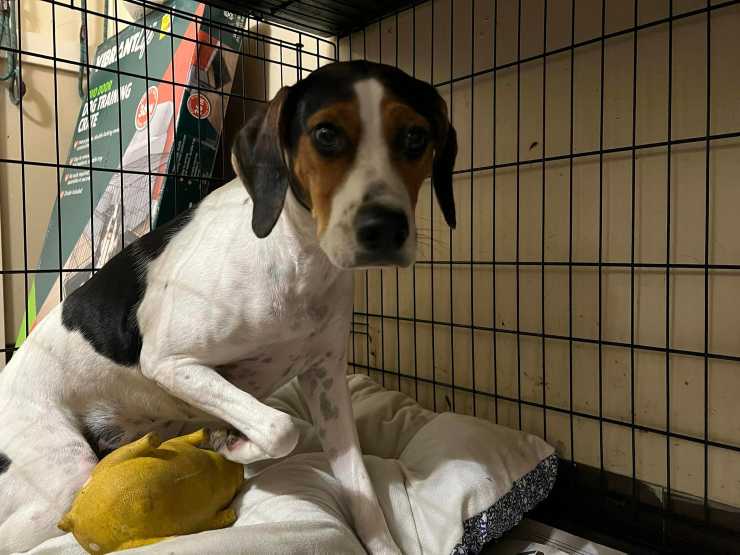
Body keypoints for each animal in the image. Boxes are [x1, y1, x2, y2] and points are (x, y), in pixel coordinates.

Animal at [0, 60, 456, 555]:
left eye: (416, 137)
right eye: (326, 134)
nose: (385, 227)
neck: (296, 259)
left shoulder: (328, 385)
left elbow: (360, 488)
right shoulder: (169, 362)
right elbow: (282, 428)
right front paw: (232, 443)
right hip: (63, 472)